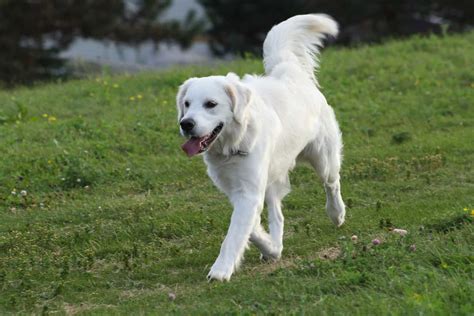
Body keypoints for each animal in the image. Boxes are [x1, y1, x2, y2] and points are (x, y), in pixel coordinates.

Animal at [176, 14, 346, 282]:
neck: (233, 145)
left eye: (210, 104)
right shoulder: (238, 190)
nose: (186, 124)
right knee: (278, 214)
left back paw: (336, 214)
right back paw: (273, 248)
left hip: (323, 158)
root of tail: (289, 71)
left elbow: (235, 233)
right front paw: (268, 246)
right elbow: (251, 226)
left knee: (332, 183)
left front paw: (221, 270)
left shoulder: (249, 191)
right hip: (273, 177)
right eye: (186, 104)